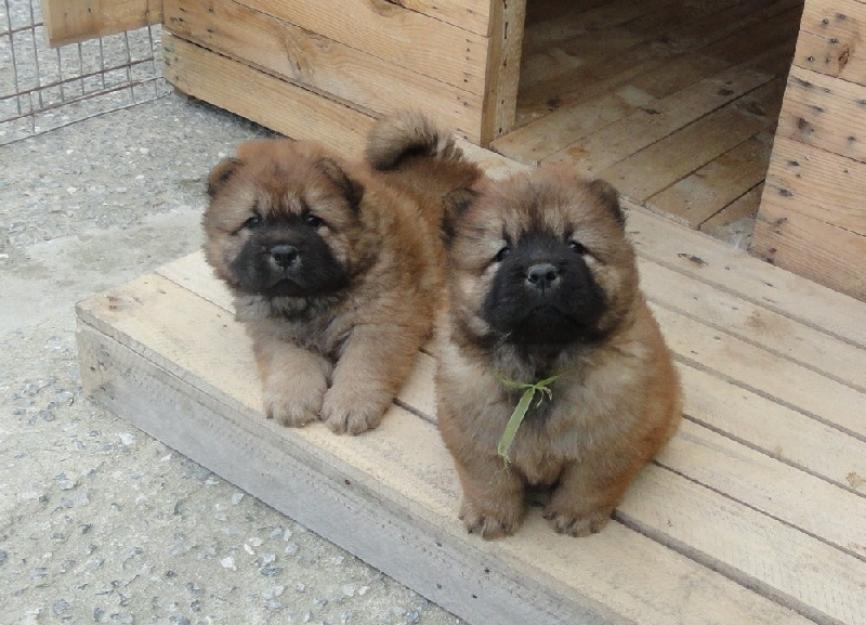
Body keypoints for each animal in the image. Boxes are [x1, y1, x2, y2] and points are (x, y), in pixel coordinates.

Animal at [204, 138, 446, 432]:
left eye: (312, 220)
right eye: (254, 221)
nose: (283, 253)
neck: (314, 299)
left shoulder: (381, 321)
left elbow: (363, 363)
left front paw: (350, 406)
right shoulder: (276, 330)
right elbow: (290, 362)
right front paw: (292, 400)